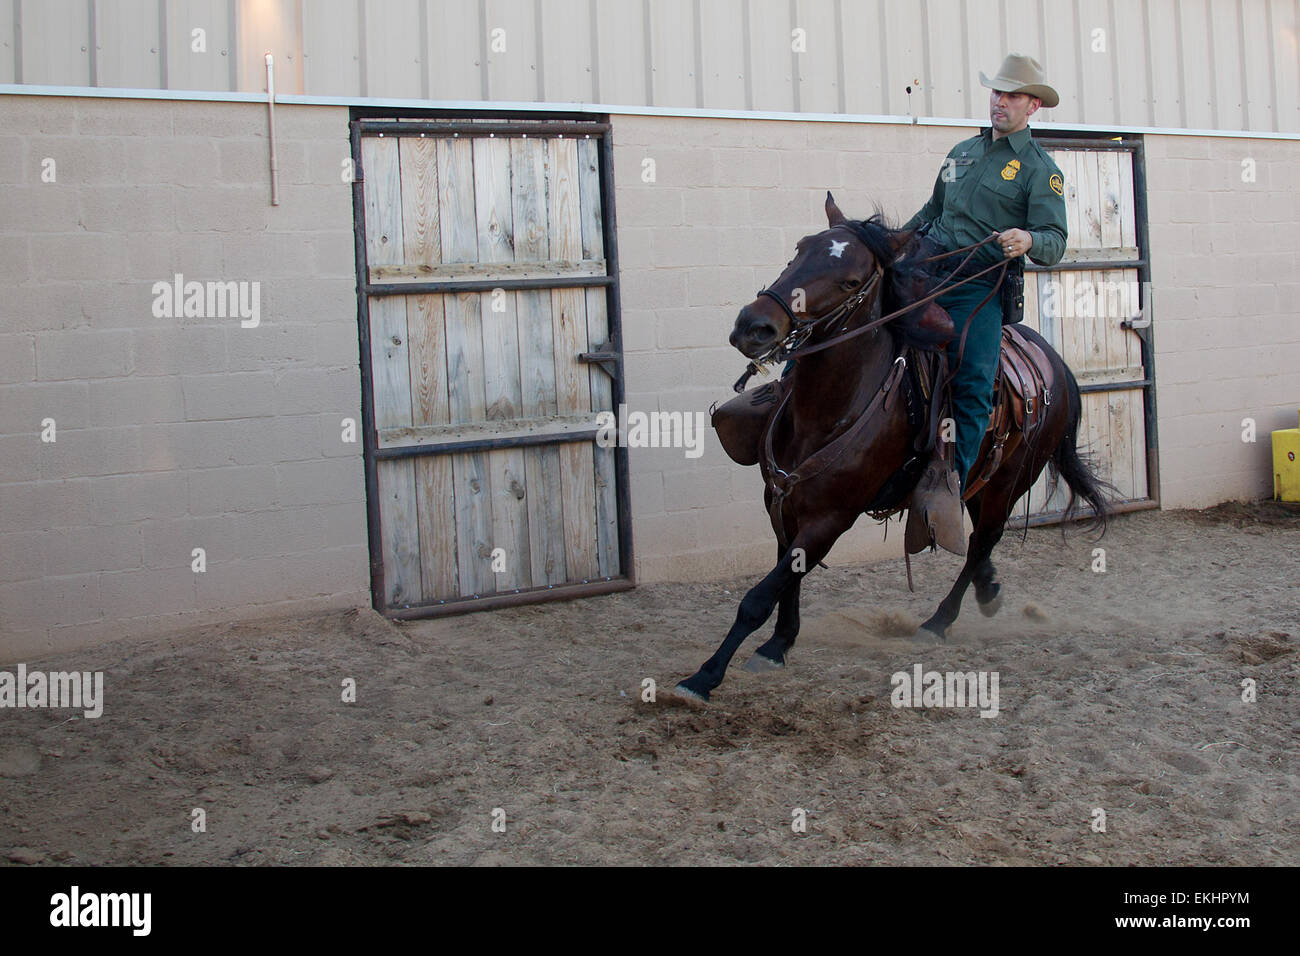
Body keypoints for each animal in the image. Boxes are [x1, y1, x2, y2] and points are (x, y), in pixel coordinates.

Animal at [675, 192, 1111, 702]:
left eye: (851, 281)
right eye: (798, 251)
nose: (754, 326)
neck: (829, 410)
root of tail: (1055, 364)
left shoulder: (831, 518)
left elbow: (761, 595)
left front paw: (705, 675)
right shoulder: (781, 502)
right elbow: (787, 581)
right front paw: (778, 645)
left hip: (1010, 483)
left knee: (982, 542)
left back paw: (939, 621)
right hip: (982, 482)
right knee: (981, 543)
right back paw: (988, 590)